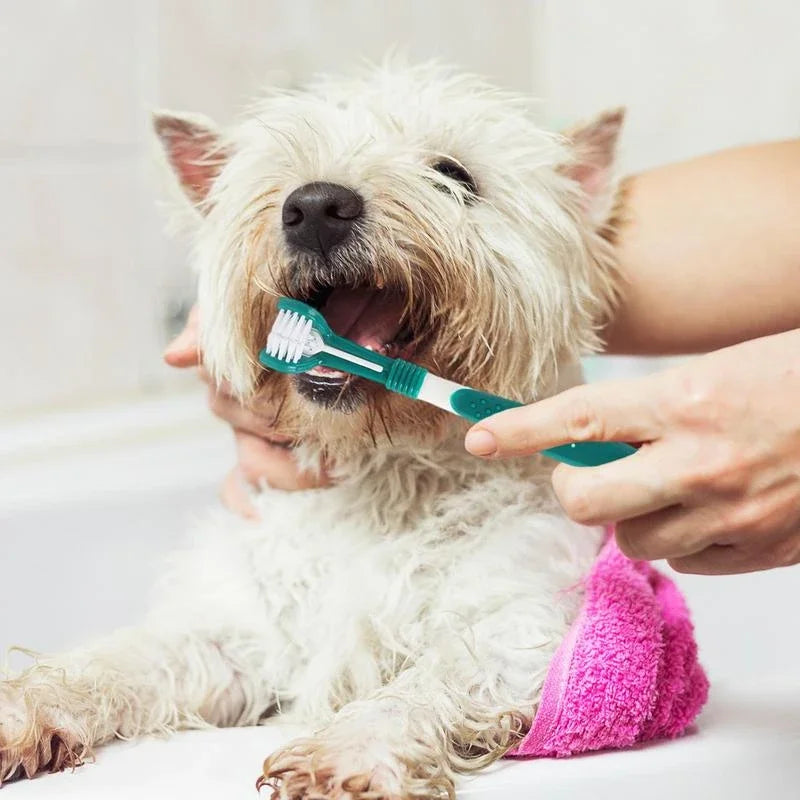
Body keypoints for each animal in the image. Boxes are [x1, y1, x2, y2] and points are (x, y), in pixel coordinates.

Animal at [0, 64, 624, 800]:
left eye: (454, 173)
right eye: (282, 172)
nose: (317, 207)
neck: (383, 475)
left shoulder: (515, 623)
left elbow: (431, 679)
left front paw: (350, 750)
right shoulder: (240, 636)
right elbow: (127, 658)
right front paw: (24, 709)